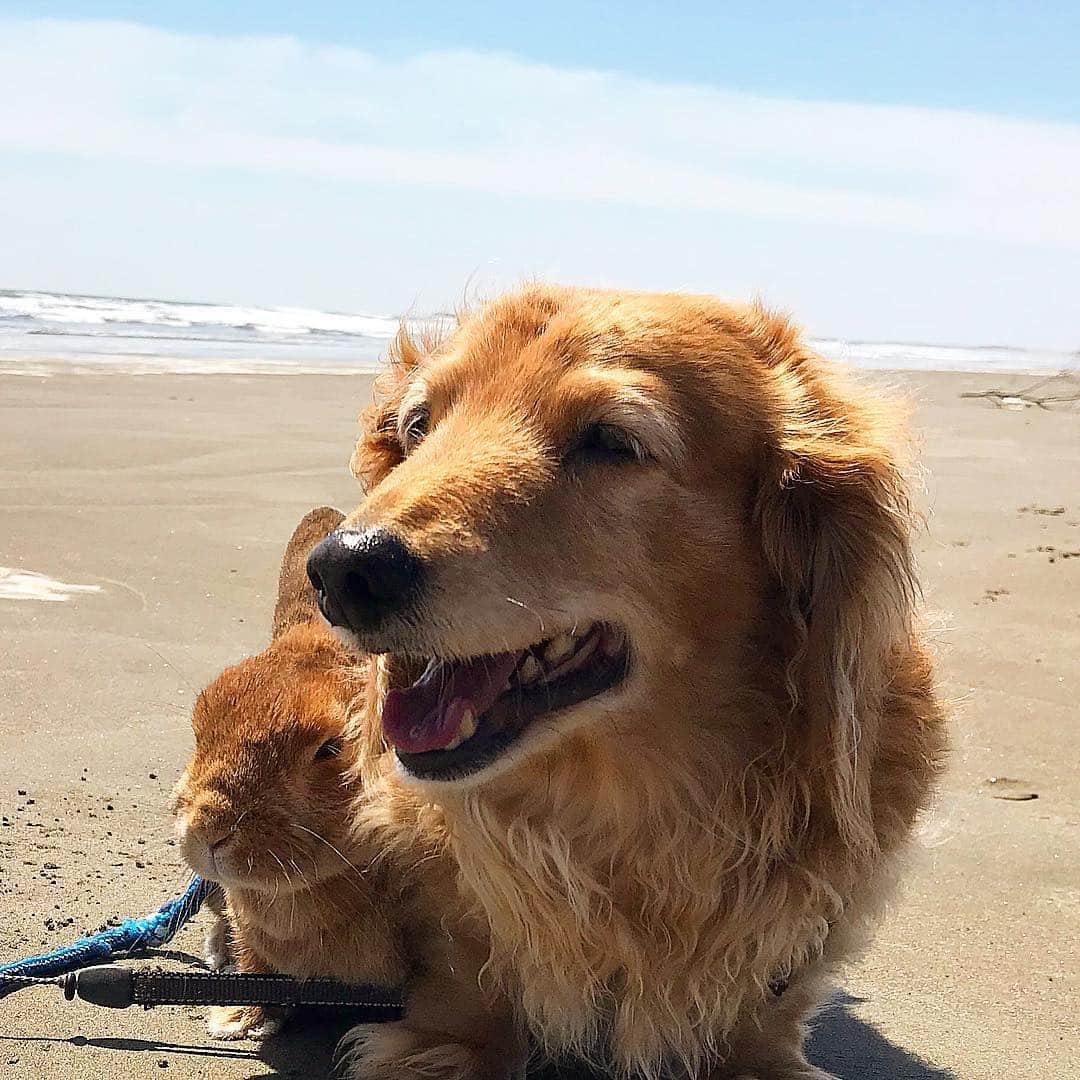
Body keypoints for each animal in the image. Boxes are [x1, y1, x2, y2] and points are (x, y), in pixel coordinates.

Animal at [311, 287, 946, 1080]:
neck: (628, 803)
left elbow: (772, 986)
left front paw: (761, 1057)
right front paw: (454, 1048)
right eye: (418, 425)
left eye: (610, 441)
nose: (343, 568)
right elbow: (468, 958)